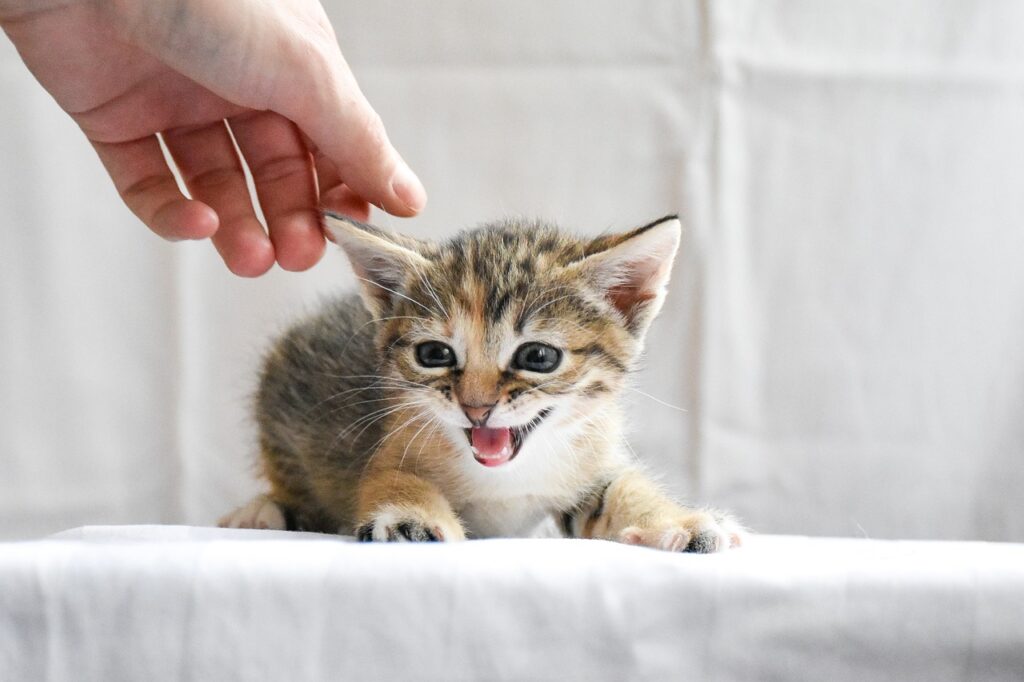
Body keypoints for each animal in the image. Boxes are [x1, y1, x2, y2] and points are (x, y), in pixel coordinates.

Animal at [220, 212, 745, 552]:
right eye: (434, 355)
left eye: (538, 357)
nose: (476, 408)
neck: (507, 479)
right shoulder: (392, 441)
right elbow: (390, 476)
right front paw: (410, 516)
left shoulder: (591, 462)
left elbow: (621, 487)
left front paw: (679, 521)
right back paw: (261, 512)